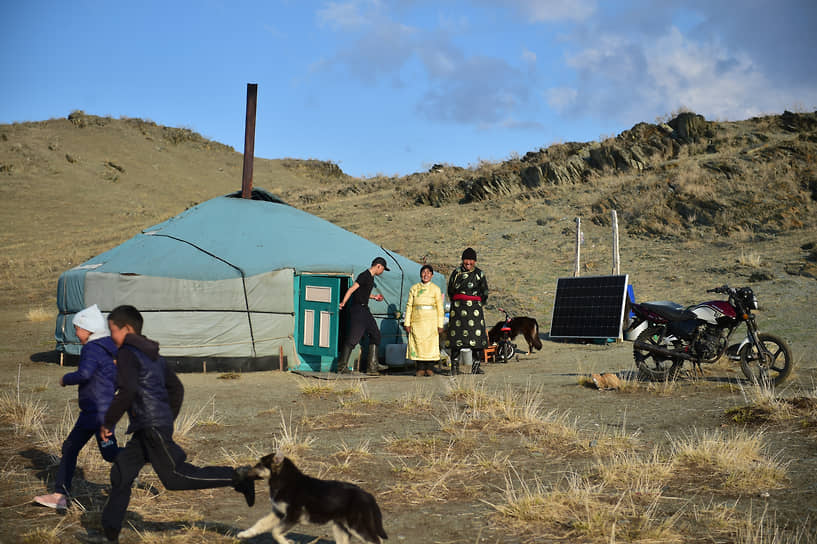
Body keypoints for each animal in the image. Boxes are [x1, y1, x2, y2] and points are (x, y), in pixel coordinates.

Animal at [236, 450, 388, 544]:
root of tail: (368, 496)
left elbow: (275, 532)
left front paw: (287, 542)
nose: (242, 472)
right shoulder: (278, 513)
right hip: (340, 528)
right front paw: (245, 534)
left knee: (376, 540)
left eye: (260, 465)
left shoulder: (293, 515)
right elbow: (260, 524)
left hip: (357, 526)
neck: (284, 481)